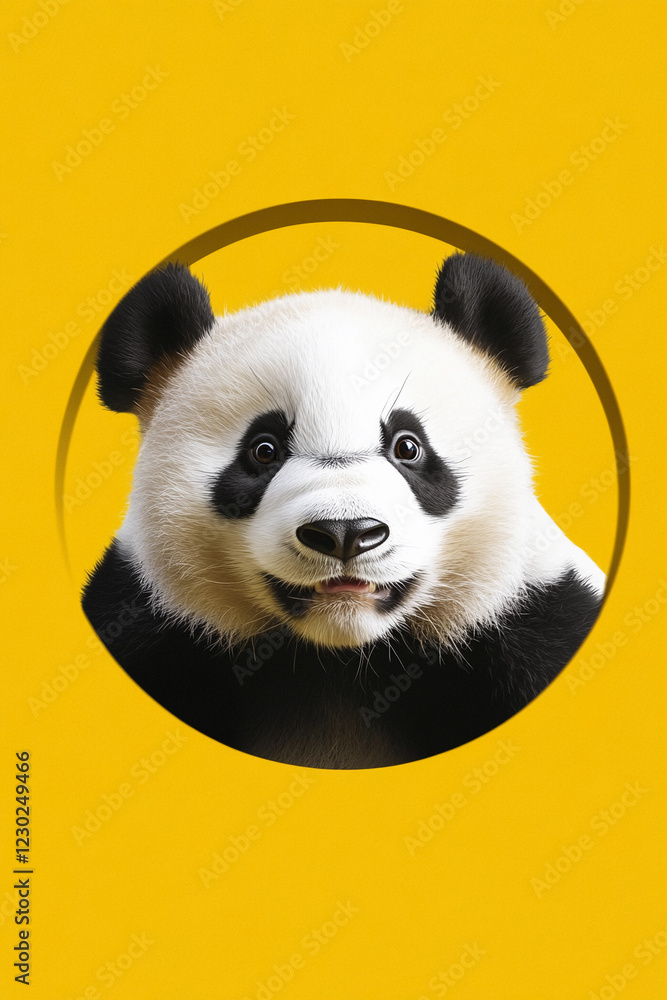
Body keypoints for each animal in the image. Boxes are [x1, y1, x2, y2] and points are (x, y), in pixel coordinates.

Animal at [82, 252, 604, 769]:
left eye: (408, 447)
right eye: (263, 450)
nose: (344, 532)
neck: (341, 659)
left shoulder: (532, 622)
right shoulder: (150, 627)